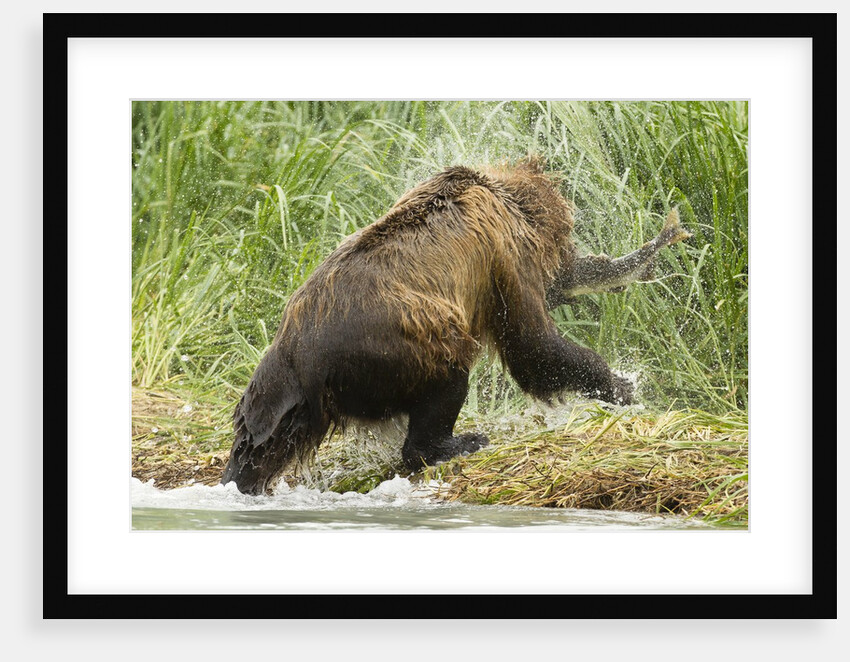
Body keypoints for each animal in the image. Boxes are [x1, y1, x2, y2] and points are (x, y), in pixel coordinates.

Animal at [221, 156, 689, 495]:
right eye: (566, 244)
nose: (571, 272)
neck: (503, 195)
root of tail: (298, 355)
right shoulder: (503, 257)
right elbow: (535, 346)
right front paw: (622, 385)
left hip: (283, 399)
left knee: (259, 445)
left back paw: (239, 477)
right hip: (400, 341)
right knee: (446, 376)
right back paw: (459, 442)